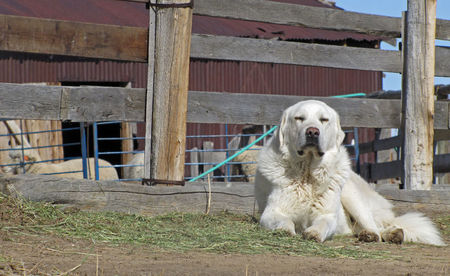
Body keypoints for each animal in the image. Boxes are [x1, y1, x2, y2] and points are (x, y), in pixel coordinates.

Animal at [255, 99, 444, 246]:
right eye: (299, 118)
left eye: (324, 120)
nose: (312, 132)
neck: (308, 173)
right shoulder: (270, 212)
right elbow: (284, 219)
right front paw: (284, 229)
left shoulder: (328, 215)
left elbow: (322, 224)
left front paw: (313, 233)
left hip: (352, 196)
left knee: (375, 227)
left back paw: (384, 234)